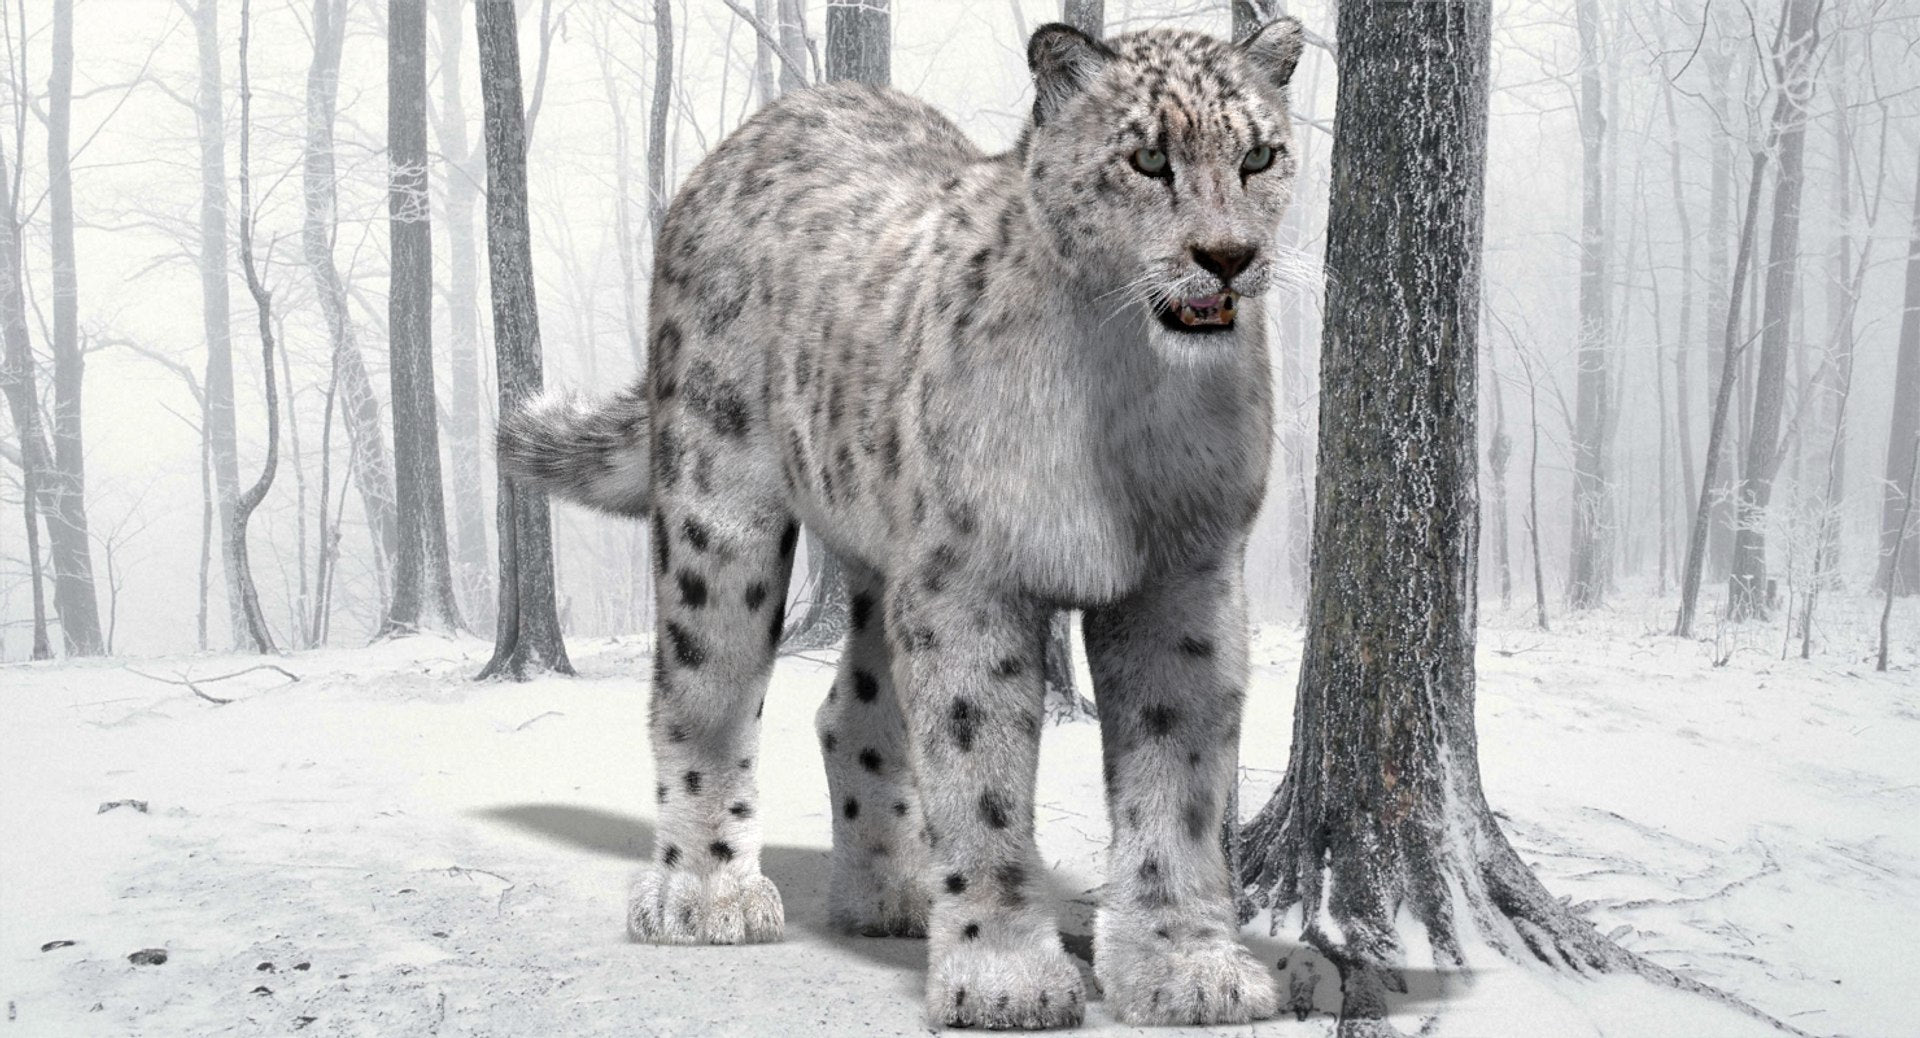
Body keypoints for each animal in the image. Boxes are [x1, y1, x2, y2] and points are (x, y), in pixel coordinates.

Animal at [498, 17, 1306, 1029]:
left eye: (1259, 156)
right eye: (1148, 157)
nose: (1227, 254)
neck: (1131, 393)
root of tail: (762, 126)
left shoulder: (1184, 583)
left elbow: (1181, 781)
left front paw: (1186, 967)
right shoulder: (972, 581)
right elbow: (981, 775)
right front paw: (1004, 977)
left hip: (892, 557)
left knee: (853, 710)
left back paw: (893, 894)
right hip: (722, 516)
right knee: (702, 691)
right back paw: (706, 895)